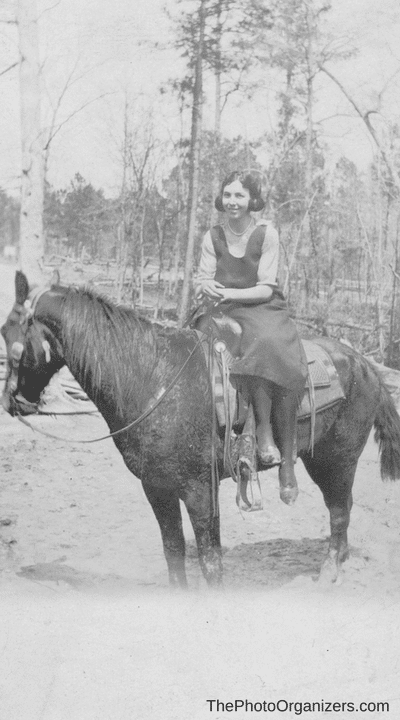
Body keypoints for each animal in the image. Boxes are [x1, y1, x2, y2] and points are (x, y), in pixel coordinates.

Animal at [2, 268, 400, 584]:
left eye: (14, 338)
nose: (12, 402)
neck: (153, 377)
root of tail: (366, 365)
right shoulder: (156, 488)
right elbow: (174, 552)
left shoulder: (199, 490)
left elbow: (210, 562)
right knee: (343, 507)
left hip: (337, 460)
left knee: (339, 510)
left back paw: (330, 570)